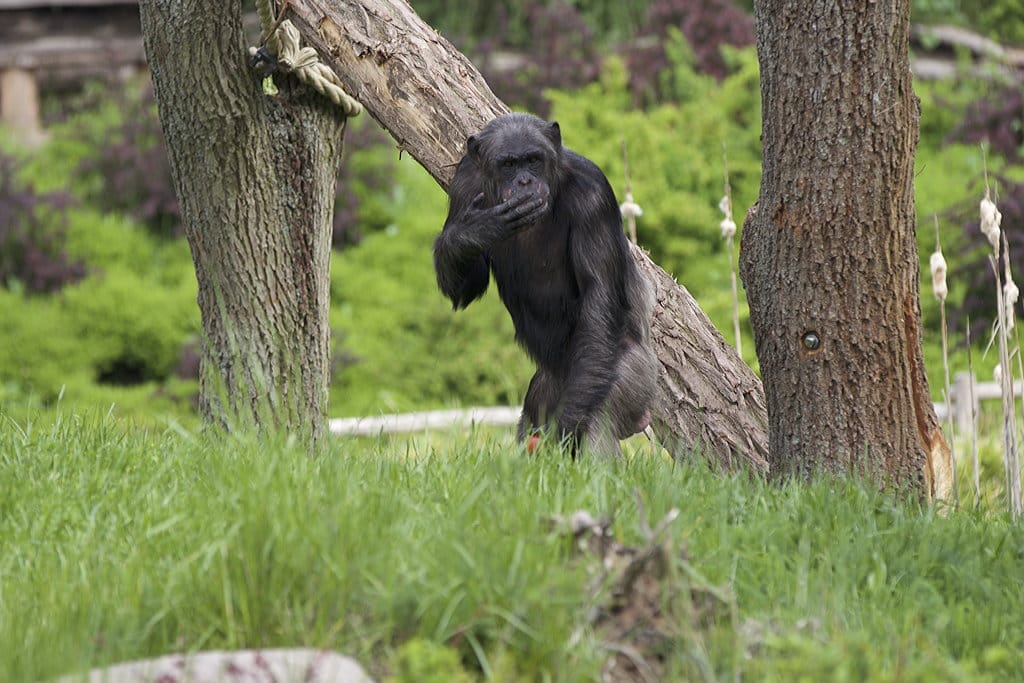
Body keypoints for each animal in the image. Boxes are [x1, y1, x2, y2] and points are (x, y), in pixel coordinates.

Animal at [430, 113, 655, 458]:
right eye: (509, 164)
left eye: (533, 160)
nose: (524, 182)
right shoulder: (463, 184)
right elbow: (466, 289)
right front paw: (474, 230)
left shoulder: (594, 195)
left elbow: (599, 291)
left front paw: (565, 434)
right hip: (545, 386)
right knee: (531, 420)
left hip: (628, 371)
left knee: (597, 419)